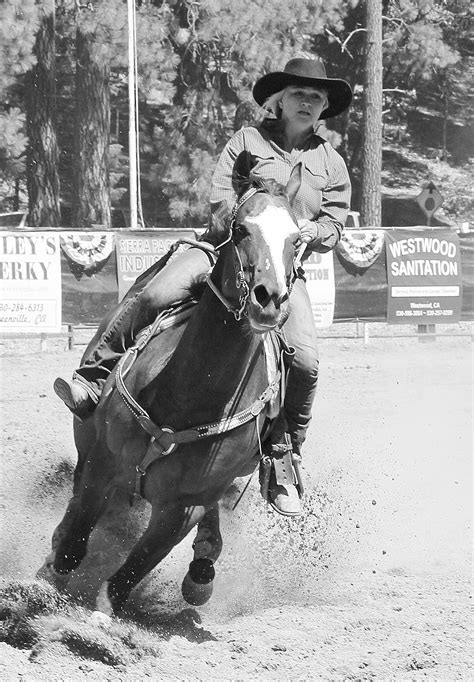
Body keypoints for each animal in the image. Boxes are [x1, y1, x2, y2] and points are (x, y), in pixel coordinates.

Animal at [39, 151, 302, 612]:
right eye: (239, 229)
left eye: (297, 239)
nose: (269, 299)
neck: (191, 392)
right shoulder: (104, 463)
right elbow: (73, 545)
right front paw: (45, 587)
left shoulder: (186, 507)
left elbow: (131, 572)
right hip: (86, 436)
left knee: (208, 527)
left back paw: (202, 571)